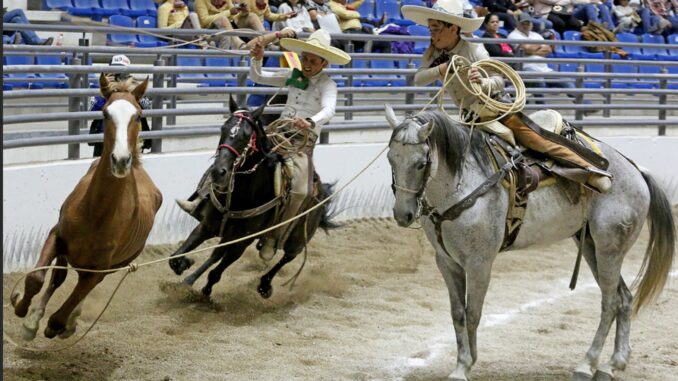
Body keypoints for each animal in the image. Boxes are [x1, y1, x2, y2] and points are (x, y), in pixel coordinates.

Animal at [11, 74, 163, 338]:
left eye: (137, 114)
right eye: (105, 113)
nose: (121, 160)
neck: (96, 213)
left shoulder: (100, 268)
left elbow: (66, 307)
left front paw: (59, 325)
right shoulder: (57, 236)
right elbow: (37, 278)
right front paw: (23, 311)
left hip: (113, 265)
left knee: (79, 289)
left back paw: (66, 321)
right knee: (57, 279)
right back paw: (35, 317)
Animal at [386, 104, 676, 380]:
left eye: (421, 163)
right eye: (391, 158)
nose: (403, 214)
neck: (463, 185)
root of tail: (636, 171)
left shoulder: (479, 263)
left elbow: (473, 313)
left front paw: (465, 366)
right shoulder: (447, 262)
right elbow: (458, 314)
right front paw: (464, 362)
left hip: (609, 249)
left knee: (610, 302)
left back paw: (587, 364)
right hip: (592, 247)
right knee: (624, 298)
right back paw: (614, 363)